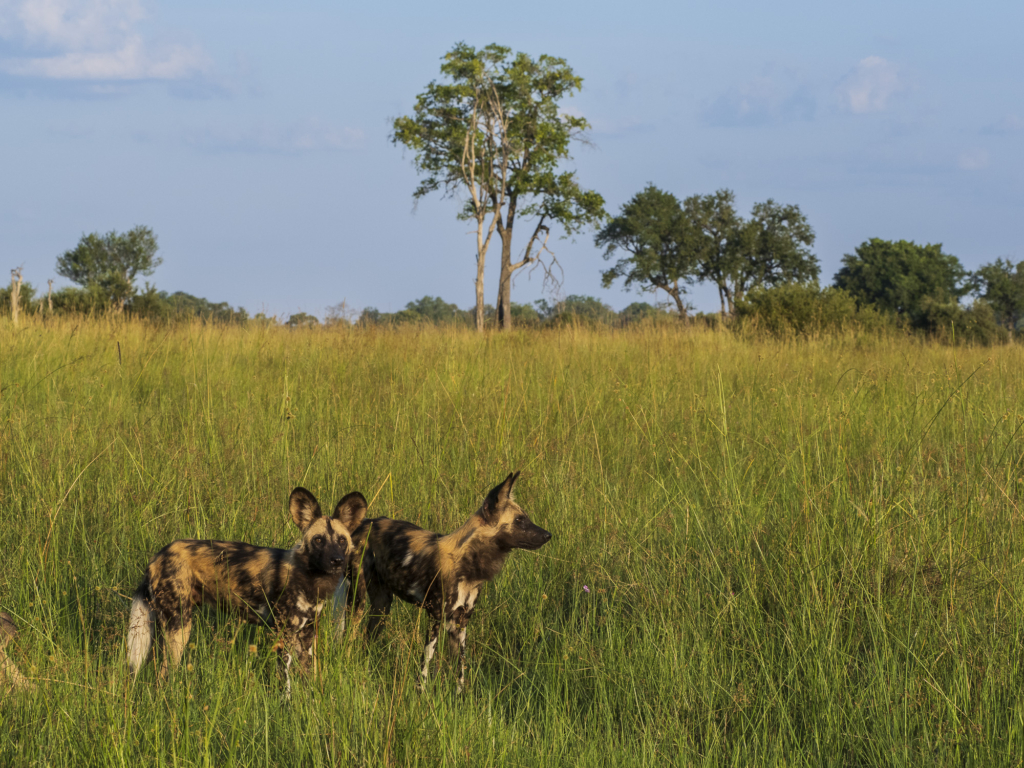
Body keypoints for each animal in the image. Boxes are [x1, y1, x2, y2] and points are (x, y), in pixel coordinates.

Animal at [128, 489, 366, 684]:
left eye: (342, 540)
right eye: (318, 540)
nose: (336, 561)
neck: (310, 578)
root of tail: (157, 557)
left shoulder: (306, 635)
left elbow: (308, 679)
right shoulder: (283, 635)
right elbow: (285, 683)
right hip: (179, 628)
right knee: (163, 677)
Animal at [342, 473, 552, 696]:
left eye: (526, 517)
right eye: (519, 520)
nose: (548, 535)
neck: (468, 564)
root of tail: (363, 523)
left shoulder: (461, 622)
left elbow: (460, 665)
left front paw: (459, 696)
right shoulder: (435, 617)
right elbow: (426, 661)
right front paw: (421, 693)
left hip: (381, 608)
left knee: (367, 640)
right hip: (358, 602)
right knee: (350, 634)